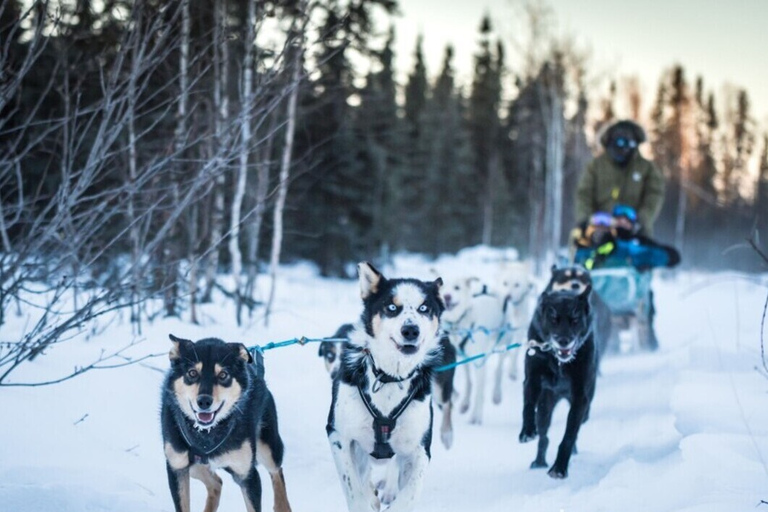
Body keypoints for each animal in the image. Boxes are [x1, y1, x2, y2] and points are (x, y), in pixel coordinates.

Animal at [160, 334, 292, 512]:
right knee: (216, 483)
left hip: (267, 448)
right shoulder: (177, 467)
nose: (204, 401)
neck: (206, 436)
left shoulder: (247, 475)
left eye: (223, 375)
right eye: (192, 373)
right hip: (193, 467)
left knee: (276, 471)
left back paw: (282, 506)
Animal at [328, 262, 448, 510]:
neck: (390, 376)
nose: (411, 330)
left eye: (424, 308)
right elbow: (354, 486)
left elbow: (410, 492)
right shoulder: (339, 436)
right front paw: (365, 500)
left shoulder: (420, 448)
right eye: (392, 307)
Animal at [520, 284, 604, 480]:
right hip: (545, 406)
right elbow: (528, 406)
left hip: (584, 407)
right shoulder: (532, 380)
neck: (558, 362)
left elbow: (569, 435)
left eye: (575, 320)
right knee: (544, 435)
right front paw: (527, 431)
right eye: (553, 319)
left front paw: (559, 468)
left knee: (577, 426)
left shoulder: (580, 397)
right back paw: (539, 461)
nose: (563, 341)